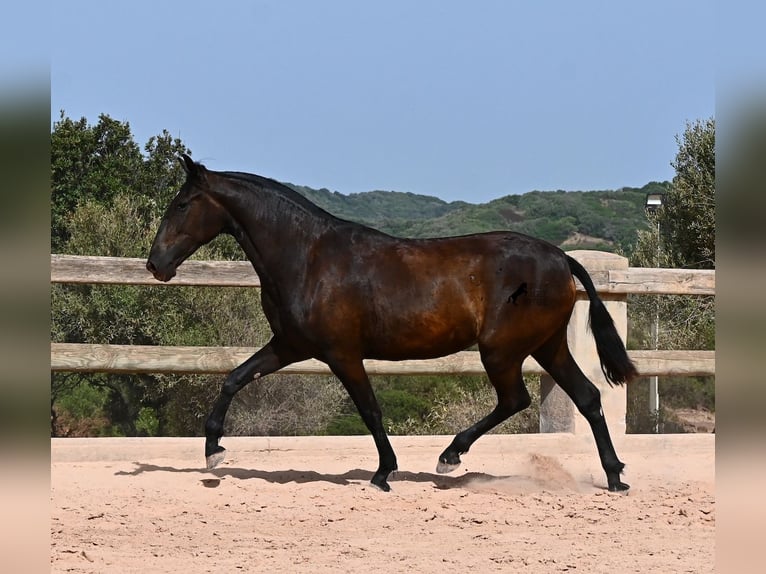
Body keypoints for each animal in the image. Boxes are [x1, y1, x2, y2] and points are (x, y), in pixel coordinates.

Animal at [147, 154, 637, 492]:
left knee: (515, 398)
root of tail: (561, 258)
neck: (308, 258)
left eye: (183, 204)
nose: (156, 264)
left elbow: (370, 409)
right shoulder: (289, 345)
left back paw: (449, 457)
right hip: (546, 345)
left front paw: (384, 473)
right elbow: (233, 378)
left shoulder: (341, 354)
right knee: (588, 397)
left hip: (502, 350)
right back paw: (615, 477)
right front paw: (213, 452)